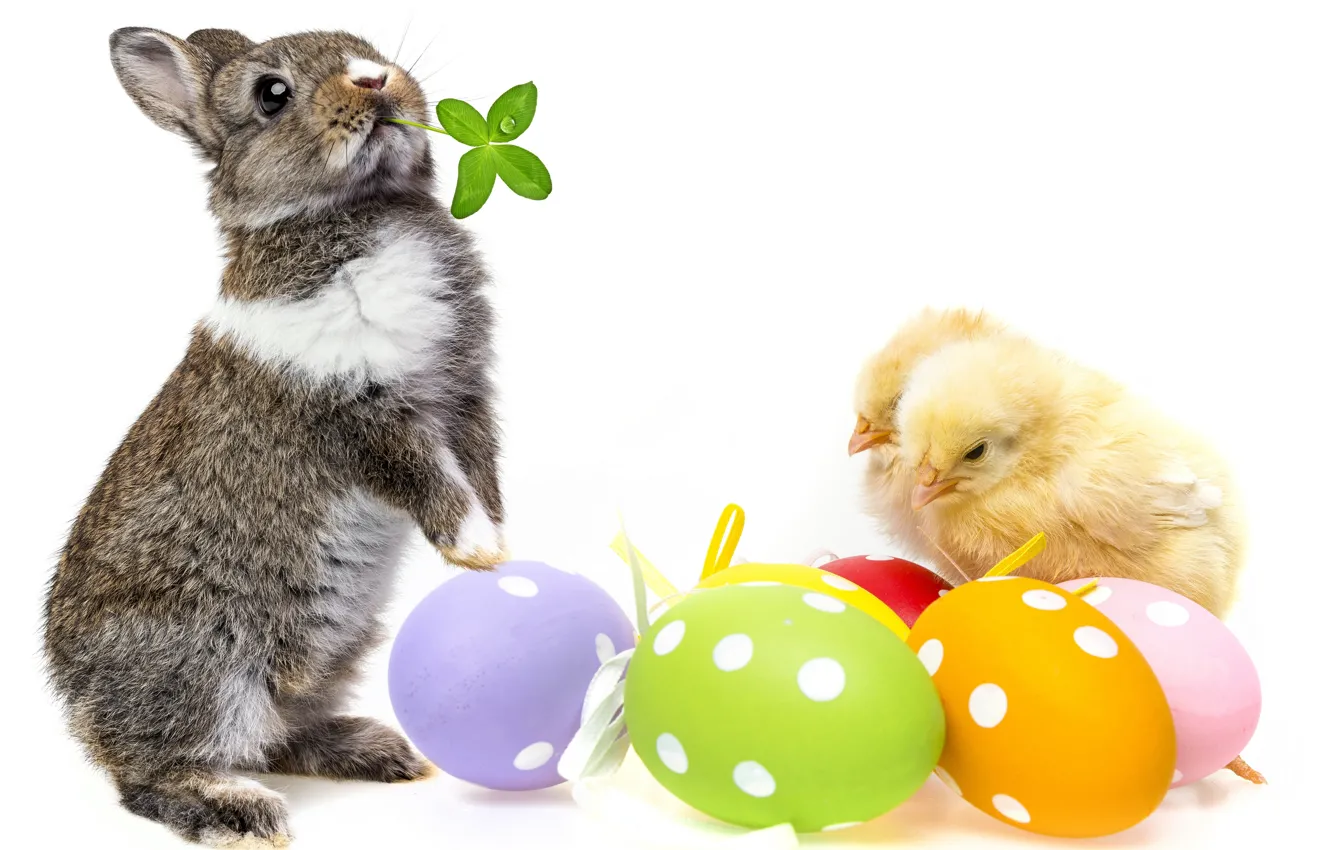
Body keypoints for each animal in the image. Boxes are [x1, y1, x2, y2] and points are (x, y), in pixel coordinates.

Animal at [42, 27, 509, 847]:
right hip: (207, 671)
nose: (373, 79)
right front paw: (477, 550)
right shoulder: (360, 417)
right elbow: (428, 479)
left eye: (364, 43)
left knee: (280, 733)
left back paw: (380, 753)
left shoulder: (463, 396)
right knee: (151, 778)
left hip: (328, 653)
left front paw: (506, 552)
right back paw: (243, 812)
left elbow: (479, 469)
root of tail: (76, 702)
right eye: (271, 95)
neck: (359, 213)